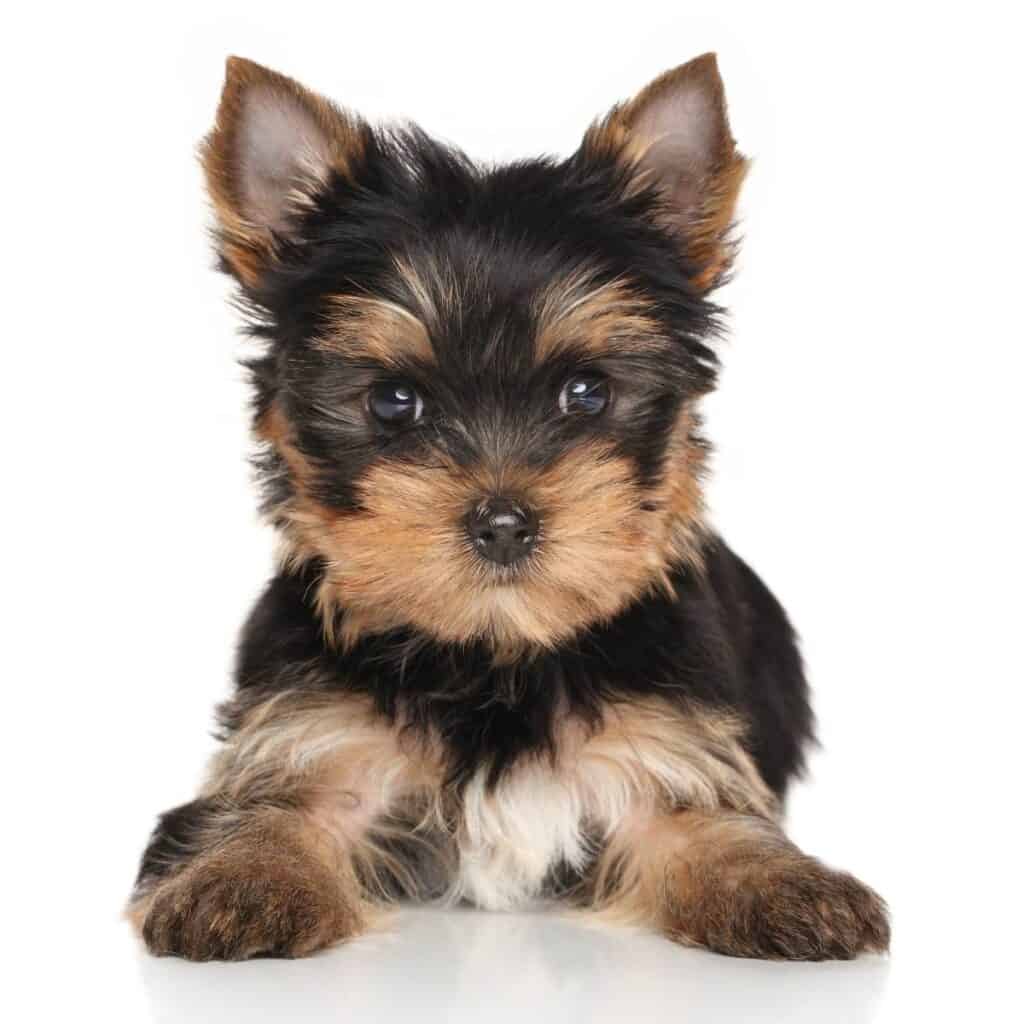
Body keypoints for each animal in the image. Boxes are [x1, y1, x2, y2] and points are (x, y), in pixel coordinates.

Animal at [130, 51, 888, 962]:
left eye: (587, 393)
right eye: (393, 402)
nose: (502, 523)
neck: (495, 656)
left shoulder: (666, 746)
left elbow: (702, 823)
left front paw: (785, 885)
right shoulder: (312, 732)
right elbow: (276, 806)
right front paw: (242, 879)